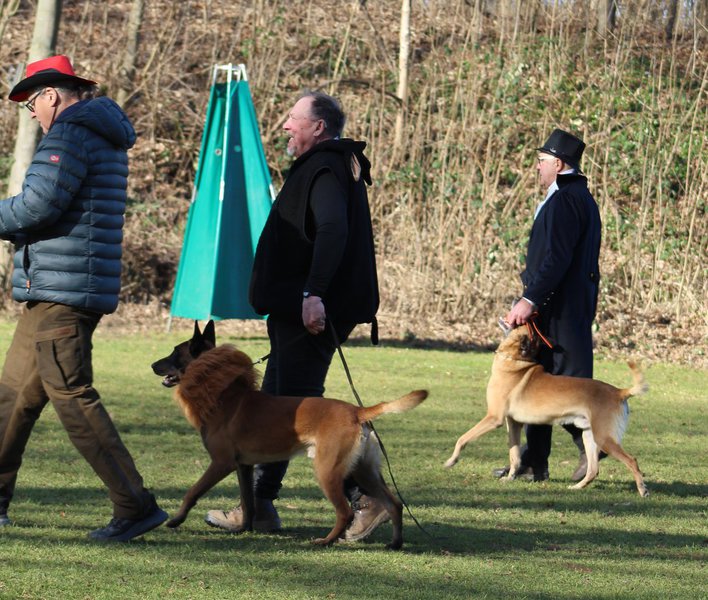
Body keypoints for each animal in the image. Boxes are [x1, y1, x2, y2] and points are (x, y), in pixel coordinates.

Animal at [152, 320, 427, 549]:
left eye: (175, 352)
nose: (153, 364)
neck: (223, 393)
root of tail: (357, 411)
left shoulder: (221, 463)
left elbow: (193, 491)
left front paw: (176, 520)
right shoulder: (243, 467)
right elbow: (248, 501)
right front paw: (243, 528)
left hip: (327, 470)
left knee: (345, 512)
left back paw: (325, 541)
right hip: (363, 471)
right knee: (394, 504)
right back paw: (395, 542)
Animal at [444, 324, 649, 496]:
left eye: (530, 330)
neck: (515, 360)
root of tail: (619, 392)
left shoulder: (494, 418)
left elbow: (462, 439)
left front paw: (451, 461)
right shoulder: (514, 424)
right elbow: (514, 456)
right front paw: (510, 478)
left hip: (603, 438)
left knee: (632, 460)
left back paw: (642, 490)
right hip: (589, 436)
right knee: (592, 469)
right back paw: (576, 487)